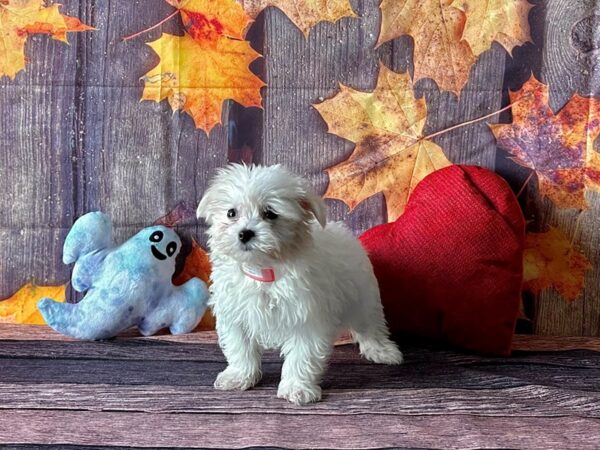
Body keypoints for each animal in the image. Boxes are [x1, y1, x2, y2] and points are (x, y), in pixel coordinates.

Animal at [198, 164, 404, 404]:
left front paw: (297, 387)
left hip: (362, 297)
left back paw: (382, 351)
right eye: (231, 213)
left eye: (270, 213)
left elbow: (302, 355)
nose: (245, 233)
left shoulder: (307, 317)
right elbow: (240, 347)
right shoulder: (235, 314)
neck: (265, 268)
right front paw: (239, 375)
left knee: (370, 326)